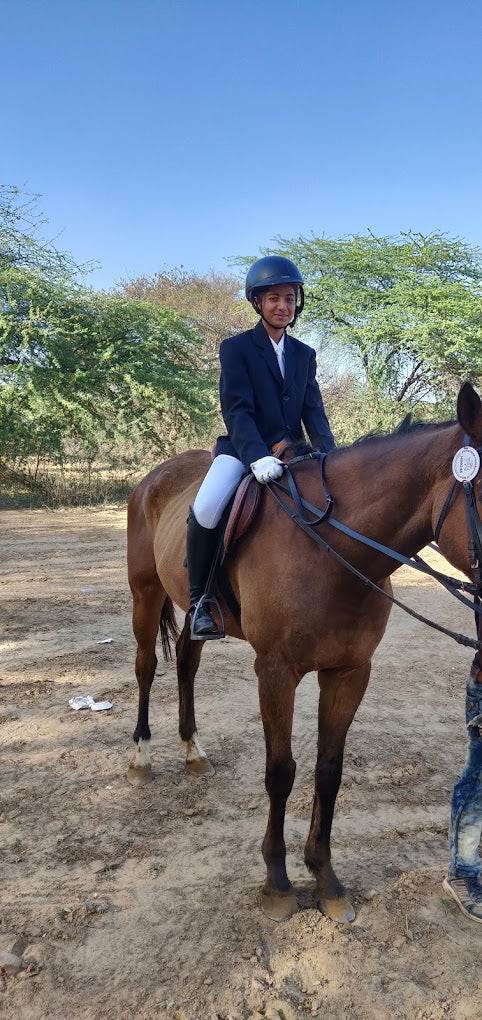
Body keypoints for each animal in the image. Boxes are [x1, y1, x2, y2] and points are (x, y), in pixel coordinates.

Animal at [126, 381, 482, 924]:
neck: (333, 545)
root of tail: (155, 476)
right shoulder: (276, 672)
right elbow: (281, 771)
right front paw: (277, 883)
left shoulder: (349, 671)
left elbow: (328, 771)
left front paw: (326, 879)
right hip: (145, 594)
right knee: (146, 667)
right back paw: (142, 755)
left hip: (191, 608)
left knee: (186, 663)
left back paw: (192, 750)